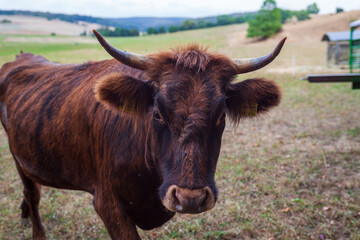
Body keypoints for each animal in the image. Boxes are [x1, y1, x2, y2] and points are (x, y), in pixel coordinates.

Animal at [0, 30, 286, 240]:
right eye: (157, 113)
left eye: (221, 115)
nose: (189, 199)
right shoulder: (109, 205)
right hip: (17, 155)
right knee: (32, 192)